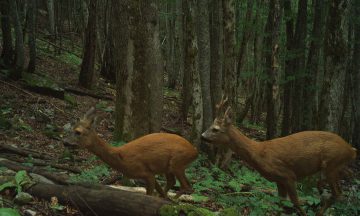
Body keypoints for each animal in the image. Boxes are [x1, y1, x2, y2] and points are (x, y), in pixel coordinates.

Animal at [201, 96, 356, 216]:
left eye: (215, 129)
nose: (202, 136)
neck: (259, 152)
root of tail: (351, 149)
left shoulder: (288, 175)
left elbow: (295, 202)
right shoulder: (278, 180)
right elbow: (281, 203)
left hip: (332, 163)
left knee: (338, 192)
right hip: (336, 165)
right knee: (345, 181)